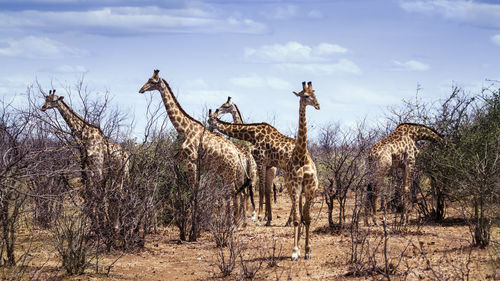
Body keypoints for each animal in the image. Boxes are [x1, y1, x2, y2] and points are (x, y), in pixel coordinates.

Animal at [138, 69, 252, 223]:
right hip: (226, 171)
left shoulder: (191, 160)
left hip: (230, 172)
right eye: (148, 79)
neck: (185, 130)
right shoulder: (181, 158)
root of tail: (237, 154)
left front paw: (192, 219)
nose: (141, 89)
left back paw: (232, 222)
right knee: (234, 192)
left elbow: (194, 190)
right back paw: (232, 220)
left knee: (234, 192)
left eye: (153, 81)